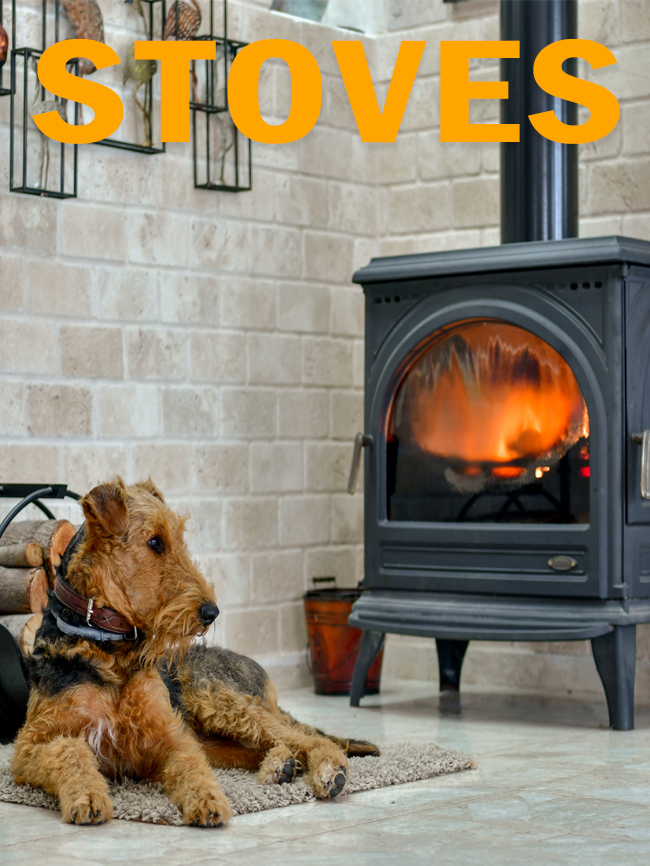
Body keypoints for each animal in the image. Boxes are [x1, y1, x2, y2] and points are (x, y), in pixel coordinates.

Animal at [11, 478, 379, 827]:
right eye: (155, 542)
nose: (211, 612)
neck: (104, 645)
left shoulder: (171, 737)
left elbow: (192, 769)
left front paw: (208, 801)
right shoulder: (30, 746)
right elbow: (69, 751)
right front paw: (87, 798)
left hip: (220, 702)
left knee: (308, 738)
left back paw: (329, 771)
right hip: (217, 733)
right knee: (274, 744)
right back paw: (281, 767)